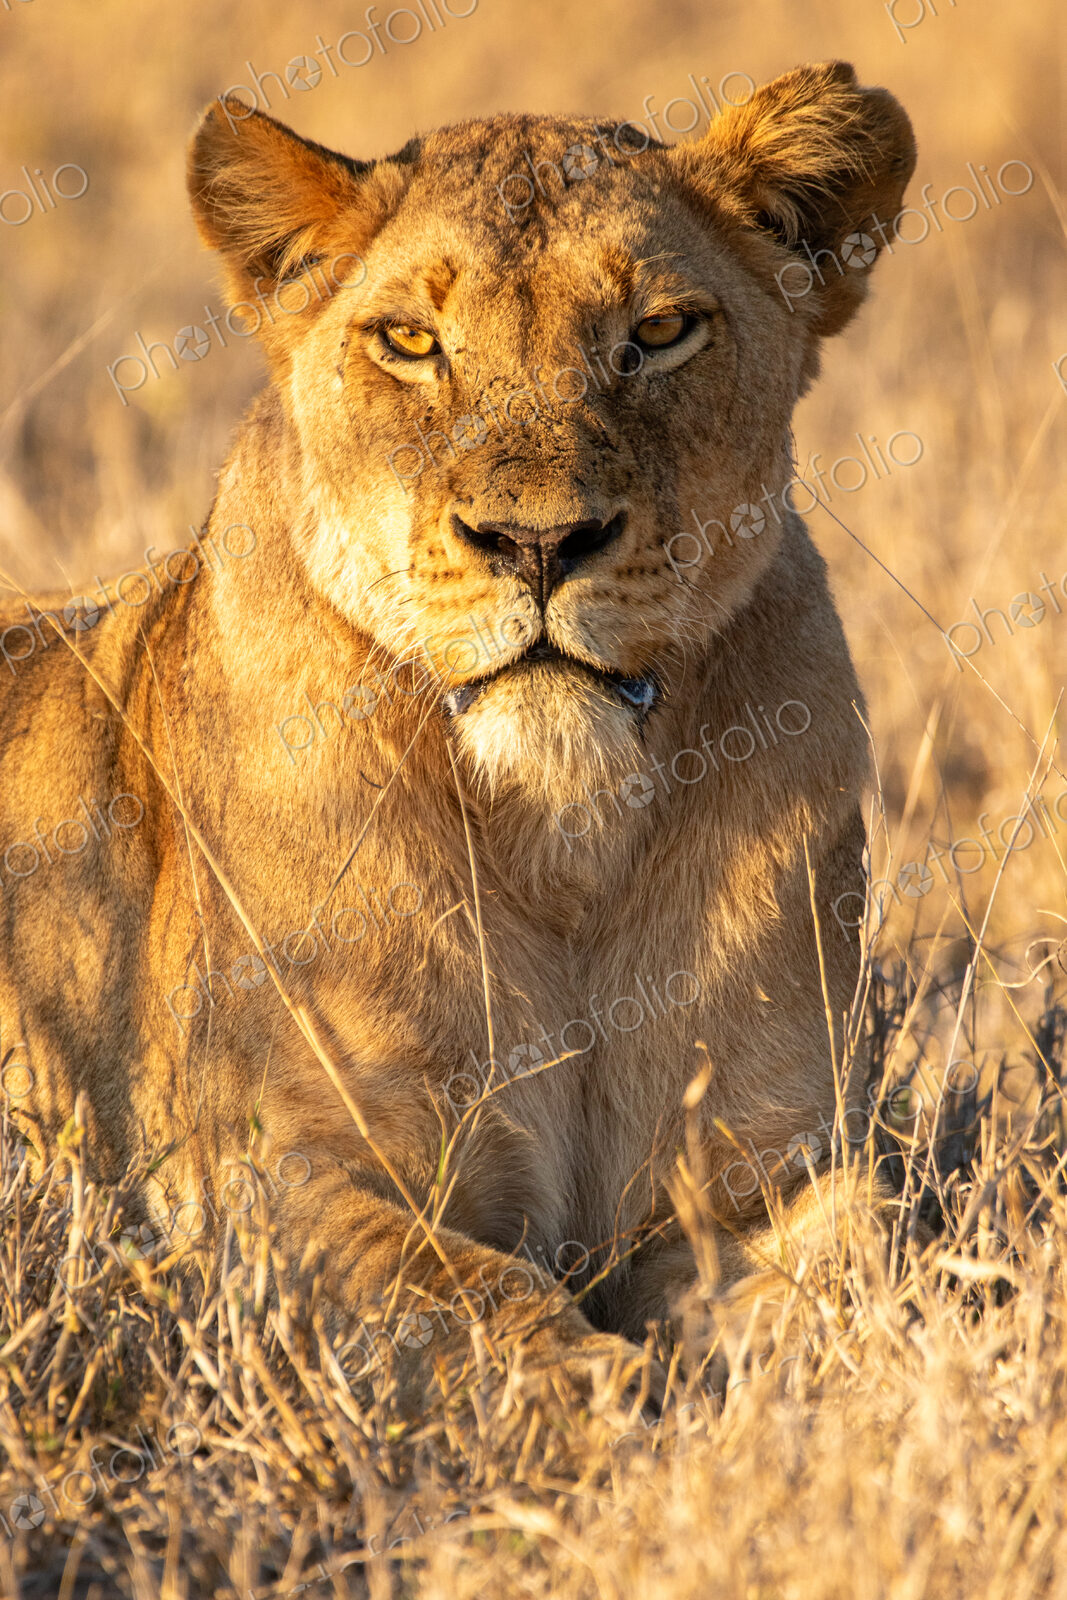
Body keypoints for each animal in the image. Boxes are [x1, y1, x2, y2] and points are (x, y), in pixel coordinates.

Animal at [0, 61, 915, 1393]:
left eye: (657, 332)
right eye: (410, 342)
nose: (536, 543)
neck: (562, 831)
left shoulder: (772, 1171)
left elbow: (876, 1278)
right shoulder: (262, 1187)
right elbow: (488, 1305)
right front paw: (621, 1418)